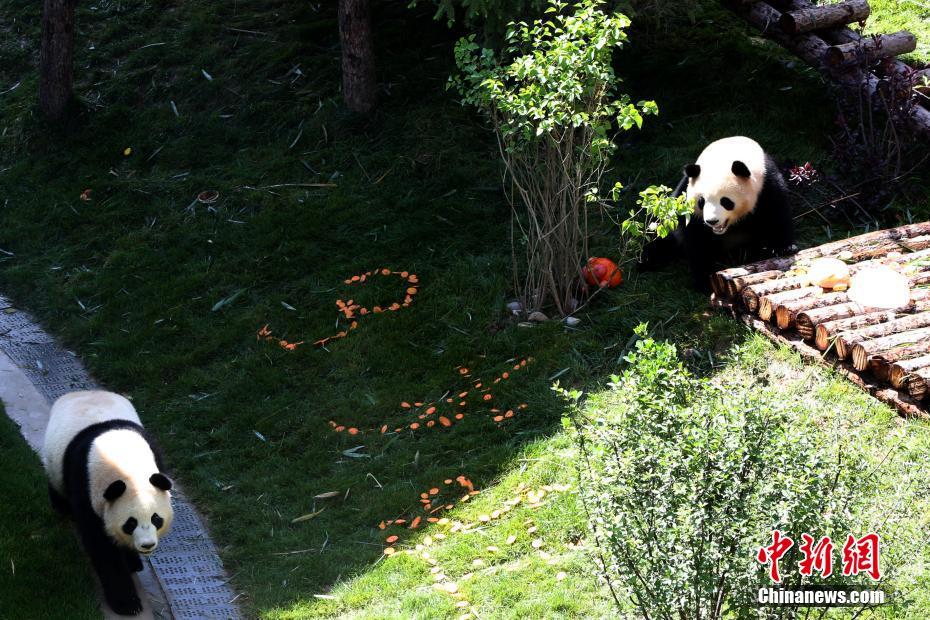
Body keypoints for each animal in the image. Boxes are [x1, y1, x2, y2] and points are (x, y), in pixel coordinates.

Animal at [640, 136, 792, 290]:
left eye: (725, 201)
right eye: (701, 201)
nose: (712, 221)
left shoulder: (766, 183)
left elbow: (777, 214)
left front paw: (781, 249)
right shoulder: (687, 200)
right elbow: (696, 240)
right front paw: (704, 281)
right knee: (663, 243)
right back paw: (645, 260)